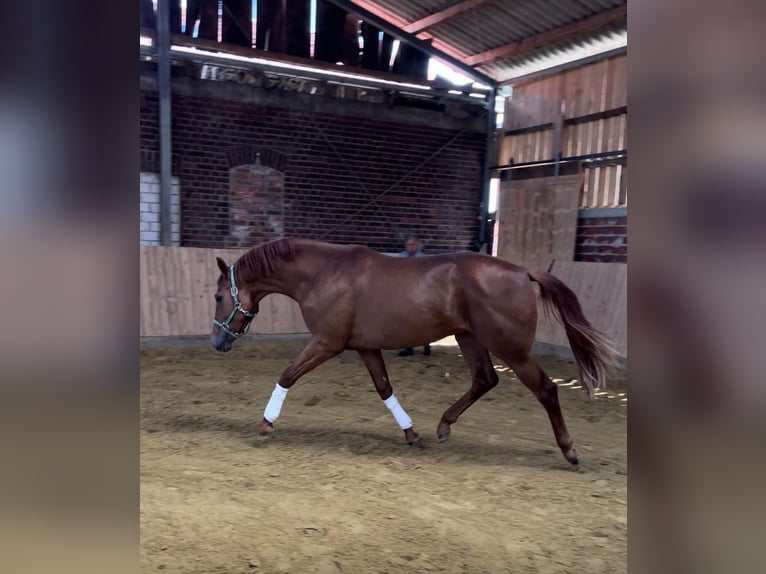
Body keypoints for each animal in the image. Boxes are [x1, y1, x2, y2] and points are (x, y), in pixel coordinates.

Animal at [210, 238, 616, 468]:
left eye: (217, 296)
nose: (217, 342)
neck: (323, 273)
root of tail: (522, 272)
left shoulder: (327, 343)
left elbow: (287, 375)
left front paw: (266, 423)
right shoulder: (365, 346)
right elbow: (384, 388)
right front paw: (411, 434)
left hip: (511, 348)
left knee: (546, 389)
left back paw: (570, 452)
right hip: (469, 338)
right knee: (484, 379)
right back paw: (443, 426)